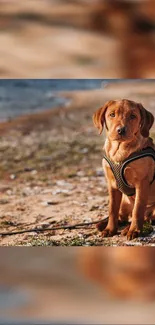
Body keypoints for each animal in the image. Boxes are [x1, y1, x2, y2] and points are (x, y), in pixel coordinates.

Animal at [92, 100, 154, 239]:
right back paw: (103, 224)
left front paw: (134, 230)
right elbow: (112, 210)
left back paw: (128, 228)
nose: (121, 130)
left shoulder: (141, 183)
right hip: (124, 203)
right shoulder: (112, 185)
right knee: (122, 216)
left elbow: (138, 209)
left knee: (145, 218)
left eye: (133, 116)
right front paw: (110, 229)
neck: (119, 150)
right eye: (112, 114)